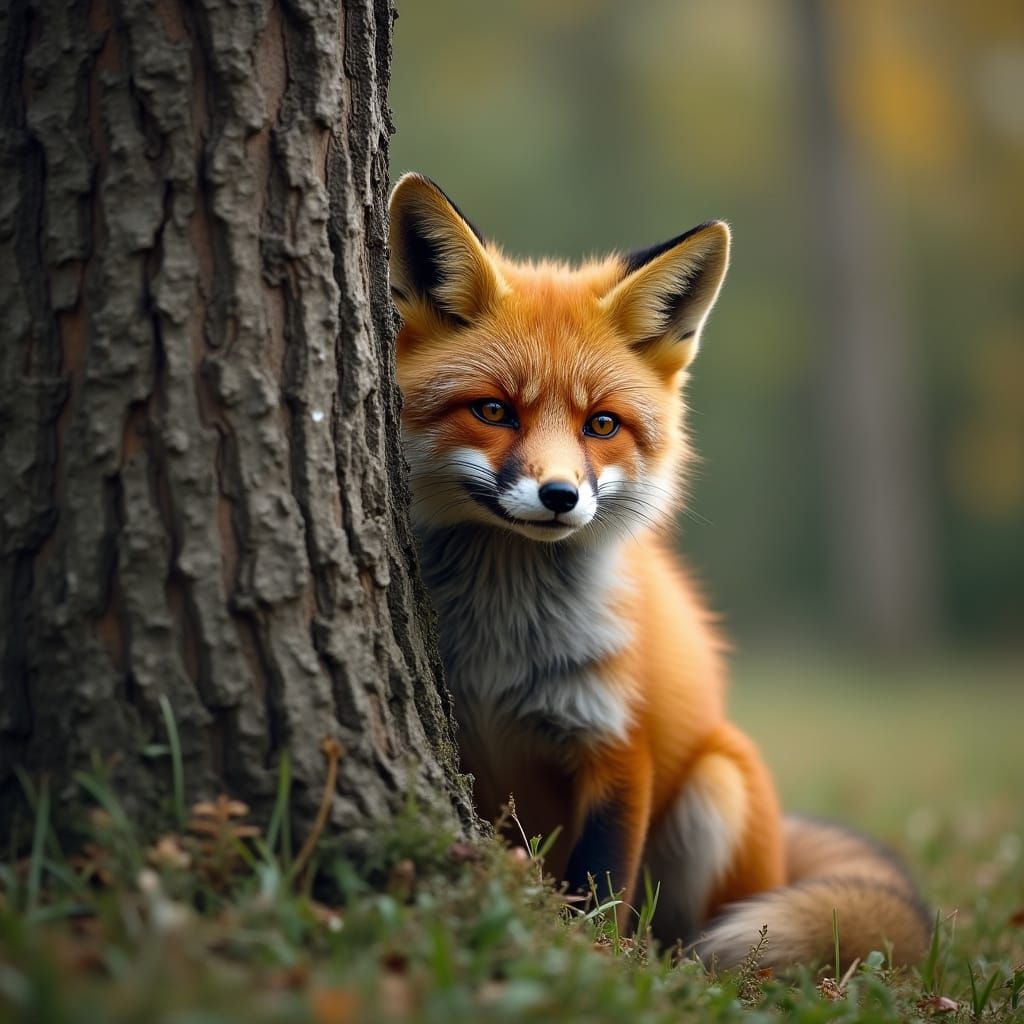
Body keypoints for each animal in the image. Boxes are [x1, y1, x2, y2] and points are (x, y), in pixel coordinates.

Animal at [387, 172, 930, 972]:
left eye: (602, 425)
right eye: (493, 411)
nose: (560, 495)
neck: (501, 645)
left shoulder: (617, 745)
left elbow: (598, 885)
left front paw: (590, 960)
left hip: (718, 785)